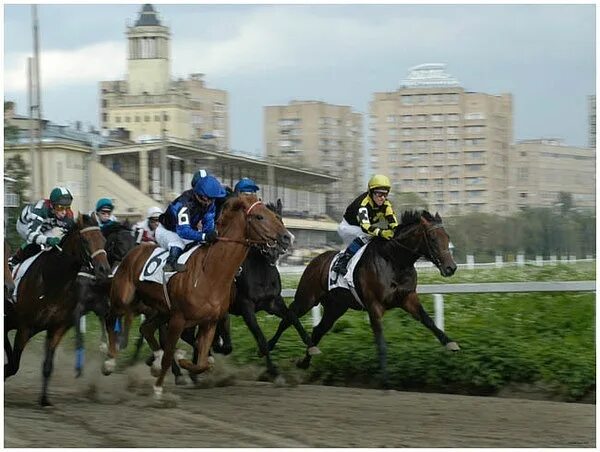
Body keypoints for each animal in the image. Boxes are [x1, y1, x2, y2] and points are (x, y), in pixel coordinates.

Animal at [4, 215, 111, 406]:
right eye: (85, 240)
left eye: (103, 240)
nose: (104, 269)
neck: (53, 279)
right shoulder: (25, 327)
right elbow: (14, 365)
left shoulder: (57, 328)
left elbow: (47, 366)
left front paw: (44, 400)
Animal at [102, 192, 292, 398]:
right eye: (259, 217)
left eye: (277, 217)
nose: (286, 238)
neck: (210, 273)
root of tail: (133, 251)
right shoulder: (182, 318)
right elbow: (176, 352)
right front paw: (159, 388)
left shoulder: (210, 321)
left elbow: (202, 361)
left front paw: (186, 363)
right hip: (124, 299)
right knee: (111, 318)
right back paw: (110, 362)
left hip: (161, 310)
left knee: (146, 328)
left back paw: (155, 362)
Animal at [268, 210, 460, 386]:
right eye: (433, 238)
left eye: (447, 237)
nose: (451, 268)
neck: (394, 260)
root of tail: (315, 260)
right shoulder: (374, 306)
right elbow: (381, 343)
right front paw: (385, 382)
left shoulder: (408, 298)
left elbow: (429, 321)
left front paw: (450, 343)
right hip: (306, 299)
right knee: (287, 319)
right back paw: (269, 348)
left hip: (335, 308)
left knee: (318, 330)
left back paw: (305, 361)